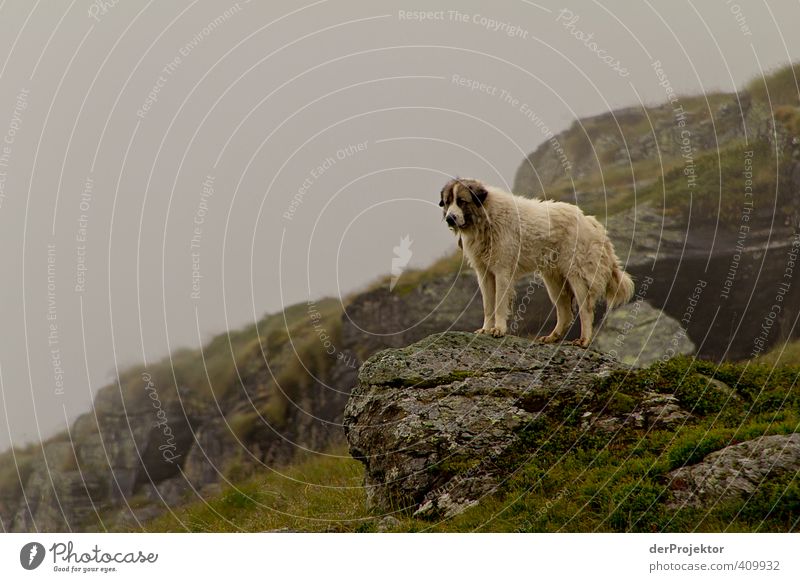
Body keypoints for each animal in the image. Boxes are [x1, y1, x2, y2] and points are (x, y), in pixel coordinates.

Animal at [440, 179, 636, 346]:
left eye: (461, 201)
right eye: (448, 202)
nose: (449, 218)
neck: (486, 216)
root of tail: (590, 221)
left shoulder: (502, 271)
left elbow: (499, 304)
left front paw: (499, 329)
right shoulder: (484, 274)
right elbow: (488, 305)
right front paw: (486, 329)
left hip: (577, 275)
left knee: (585, 310)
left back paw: (584, 340)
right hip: (554, 281)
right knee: (565, 313)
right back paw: (552, 337)